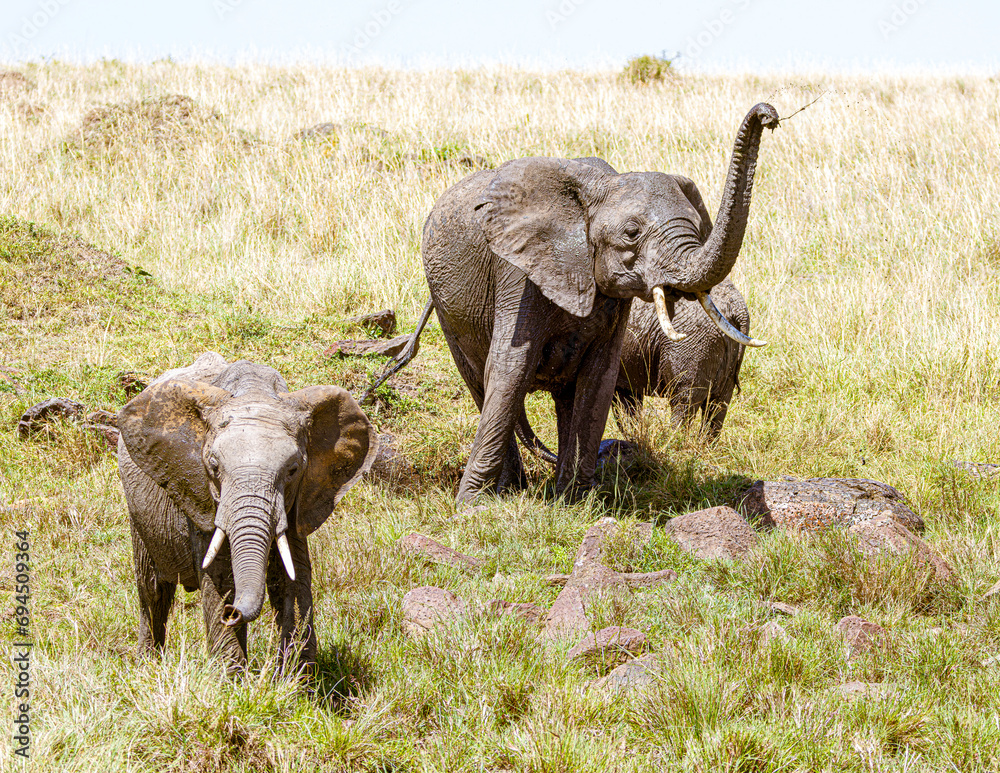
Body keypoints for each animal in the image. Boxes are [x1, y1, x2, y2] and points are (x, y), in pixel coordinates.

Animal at [116, 352, 377, 673]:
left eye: (293, 470)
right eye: (214, 467)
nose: (232, 612)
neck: (254, 391)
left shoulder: (299, 499)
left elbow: (292, 575)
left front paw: (297, 680)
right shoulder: (200, 492)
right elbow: (221, 576)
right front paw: (229, 680)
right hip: (137, 507)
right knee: (153, 591)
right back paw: (148, 665)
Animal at [419, 103, 777, 505]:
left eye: (699, 227)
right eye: (632, 233)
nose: (768, 115)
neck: (598, 189)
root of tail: (738, 314)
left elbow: (598, 379)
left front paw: (577, 504)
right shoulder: (516, 271)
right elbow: (510, 368)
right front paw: (472, 507)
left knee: (699, 401)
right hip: (446, 306)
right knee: (481, 382)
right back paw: (510, 491)